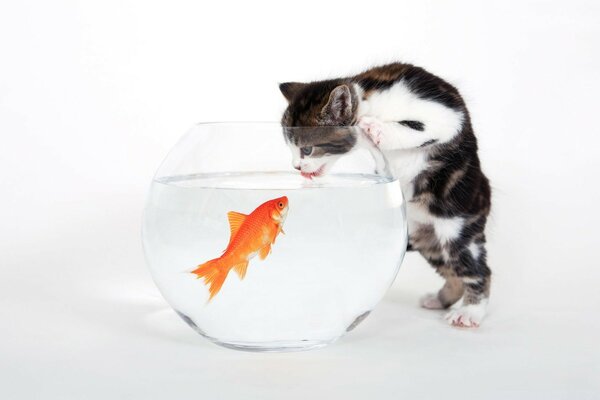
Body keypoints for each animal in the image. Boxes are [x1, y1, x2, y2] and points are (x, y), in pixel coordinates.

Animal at [278, 61, 490, 326]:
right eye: (290, 149)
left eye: (307, 150)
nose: (296, 166)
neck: (366, 97)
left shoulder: (446, 113)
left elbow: (421, 127)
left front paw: (377, 128)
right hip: (423, 237)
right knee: (452, 271)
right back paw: (440, 299)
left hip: (457, 227)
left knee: (477, 270)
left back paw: (471, 312)